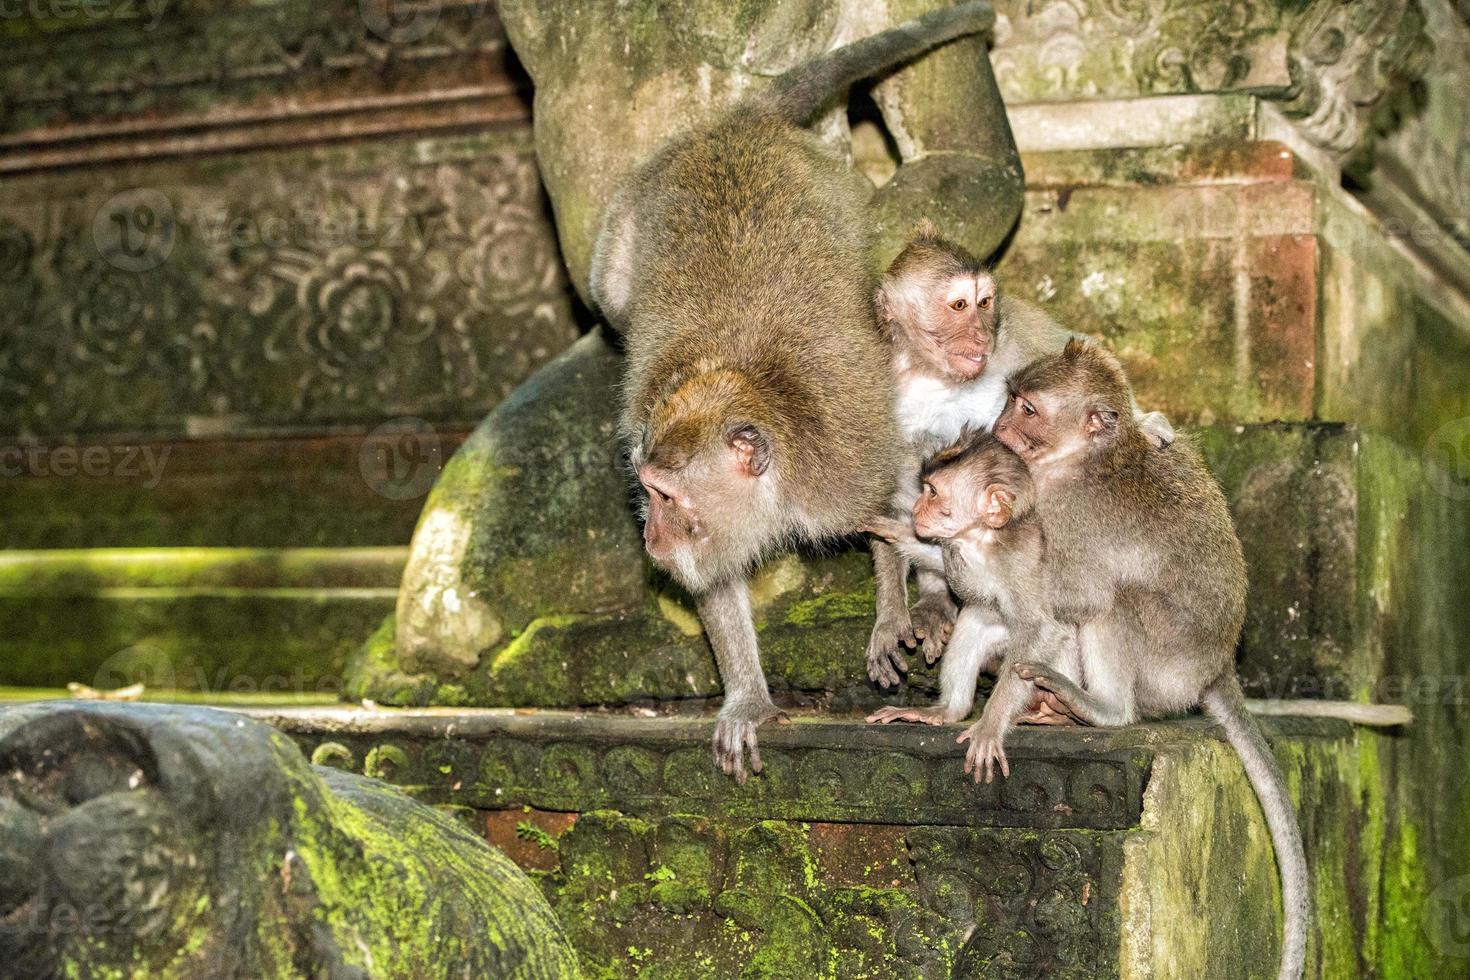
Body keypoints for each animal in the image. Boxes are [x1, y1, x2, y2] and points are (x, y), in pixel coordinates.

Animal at [585, 0, 999, 781]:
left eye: (666, 498)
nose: (652, 537)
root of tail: (738, 124)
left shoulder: (841, 469)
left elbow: (892, 512)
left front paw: (897, 610)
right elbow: (714, 584)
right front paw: (747, 696)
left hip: (843, 196)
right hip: (628, 211)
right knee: (611, 296)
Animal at [858, 431, 1081, 787]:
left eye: (933, 492)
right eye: (925, 489)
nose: (916, 508)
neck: (981, 542)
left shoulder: (1019, 563)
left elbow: (1043, 628)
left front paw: (990, 725)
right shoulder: (955, 549)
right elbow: (940, 561)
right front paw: (894, 530)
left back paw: (1059, 712)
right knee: (974, 622)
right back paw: (948, 711)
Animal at [864, 227, 1176, 690]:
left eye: (984, 303)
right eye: (959, 306)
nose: (980, 335)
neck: (933, 373)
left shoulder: (1012, 330)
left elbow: (1079, 357)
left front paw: (1143, 420)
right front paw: (889, 613)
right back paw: (936, 595)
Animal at [993, 339, 1317, 980]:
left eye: (1029, 410)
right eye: (1011, 399)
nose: (998, 426)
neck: (1088, 455)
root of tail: (1218, 665)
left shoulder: (1068, 511)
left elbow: (1076, 598)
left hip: (1167, 666)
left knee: (1118, 602)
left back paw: (1101, 709)